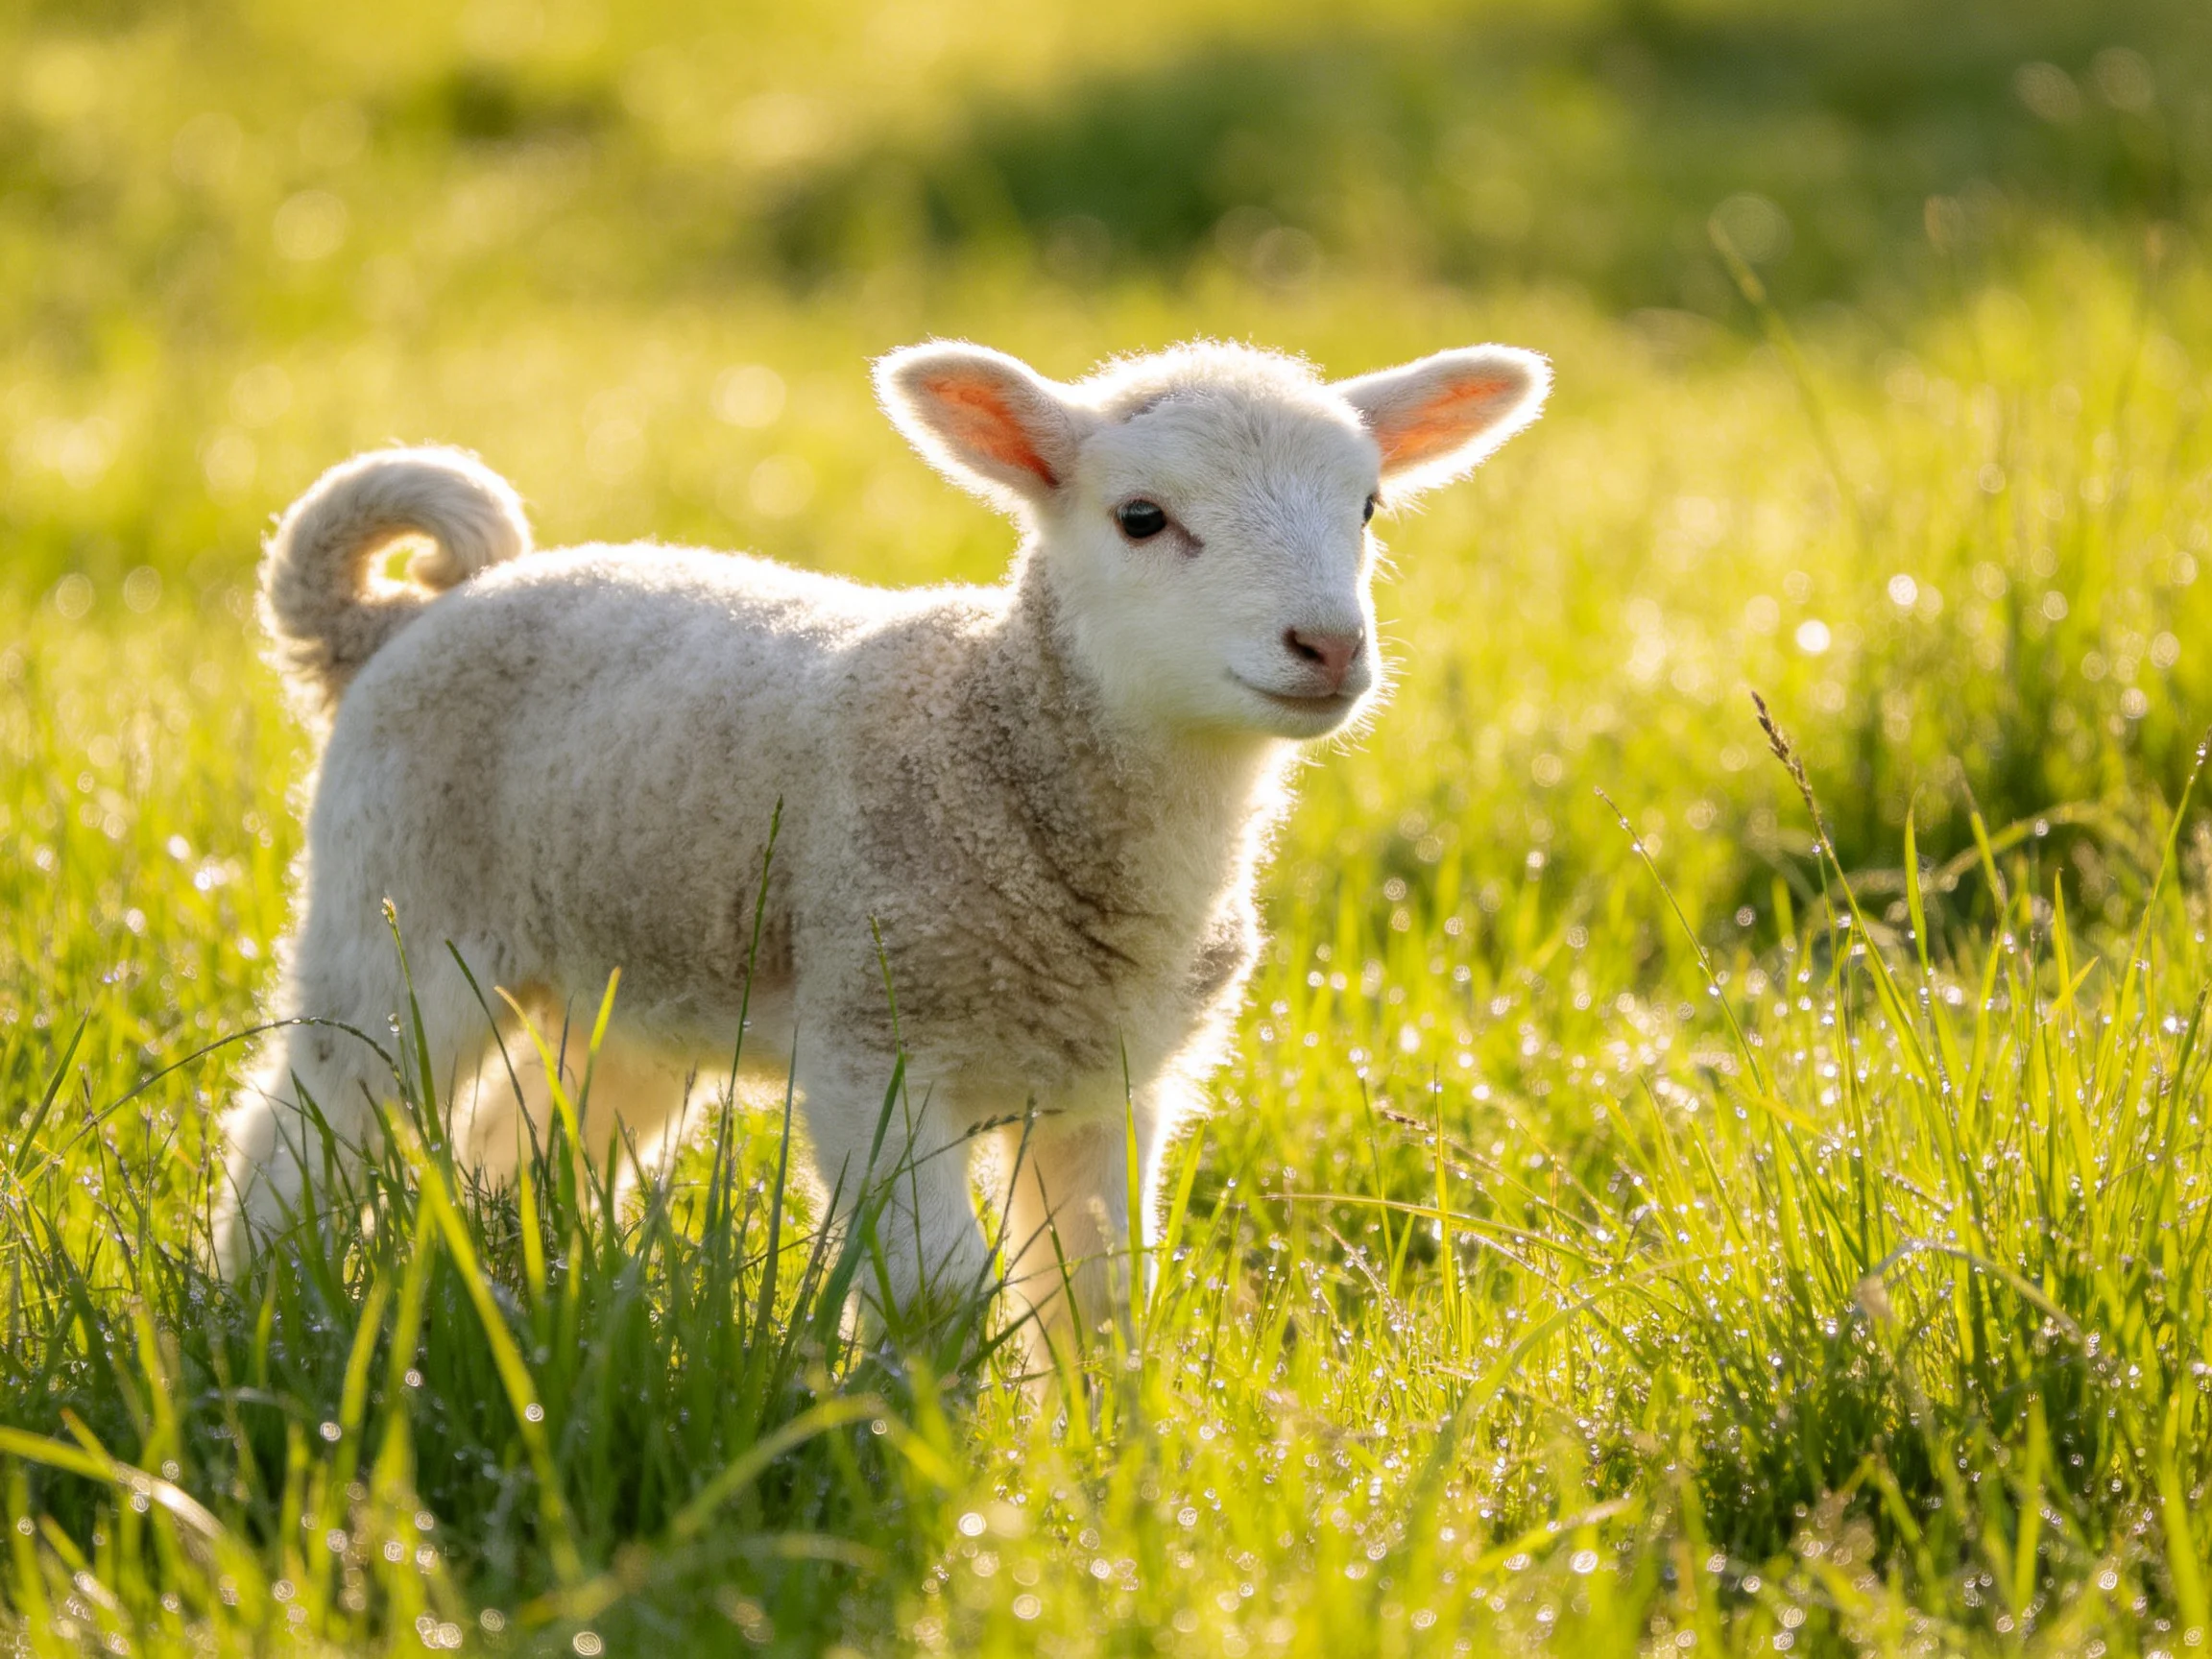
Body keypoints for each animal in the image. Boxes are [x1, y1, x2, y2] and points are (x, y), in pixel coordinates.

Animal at [213, 337, 1549, 1362]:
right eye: (1142, 518)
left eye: (1368, 507)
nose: (1329, 647)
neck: (996, 736)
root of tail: (398, 619)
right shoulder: (877, 1048)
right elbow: (939, 1294)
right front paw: (938, 1466)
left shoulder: (1115, 1081)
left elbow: (1099, 1301)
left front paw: (1099, 1482)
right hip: (394, 913)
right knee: (300, 1130)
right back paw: (255, 1310)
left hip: (631, 981)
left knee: (524, 1144)